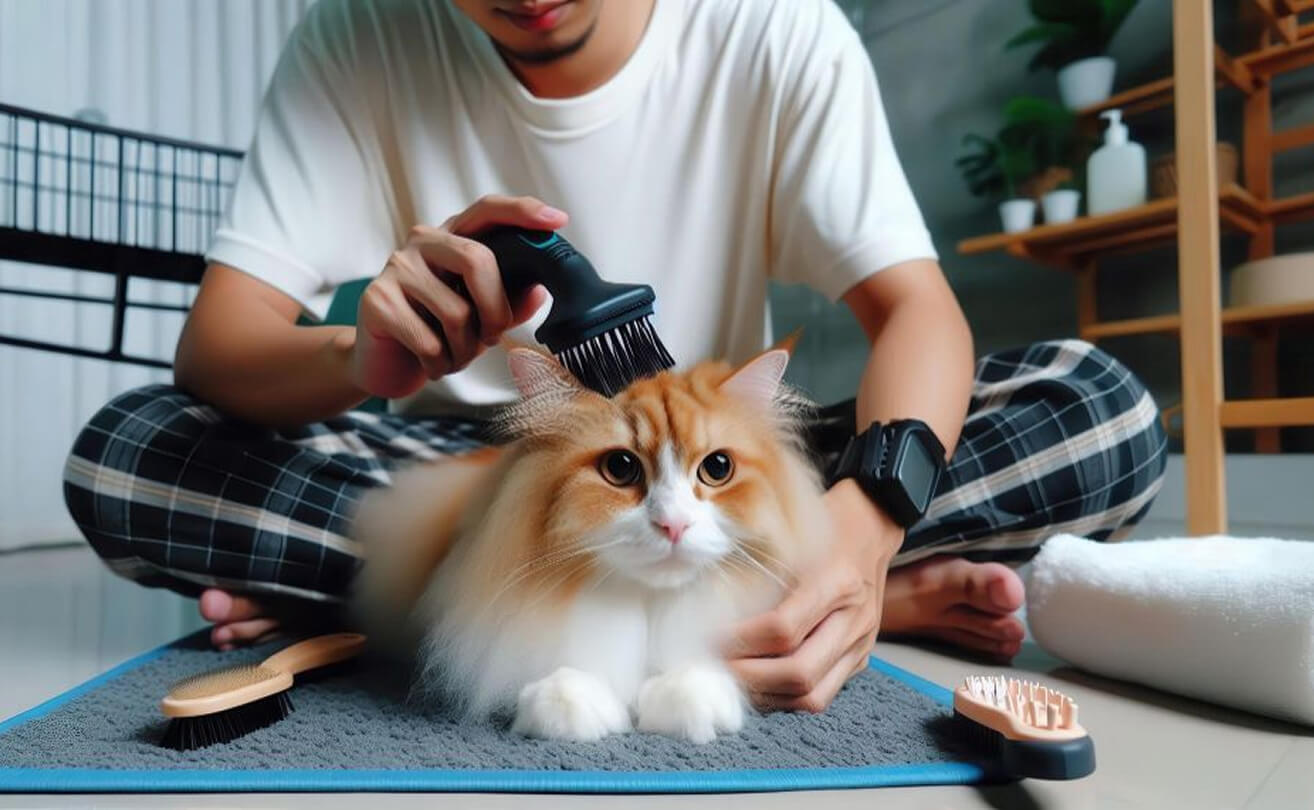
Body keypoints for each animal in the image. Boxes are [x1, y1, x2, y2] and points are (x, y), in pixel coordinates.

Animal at [351, 346, 831, 743]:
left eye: (717, 468)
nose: (673, 524)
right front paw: (570, 702)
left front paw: (687, 696)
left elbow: (693, 673)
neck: (645, 603)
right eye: (620, 467)